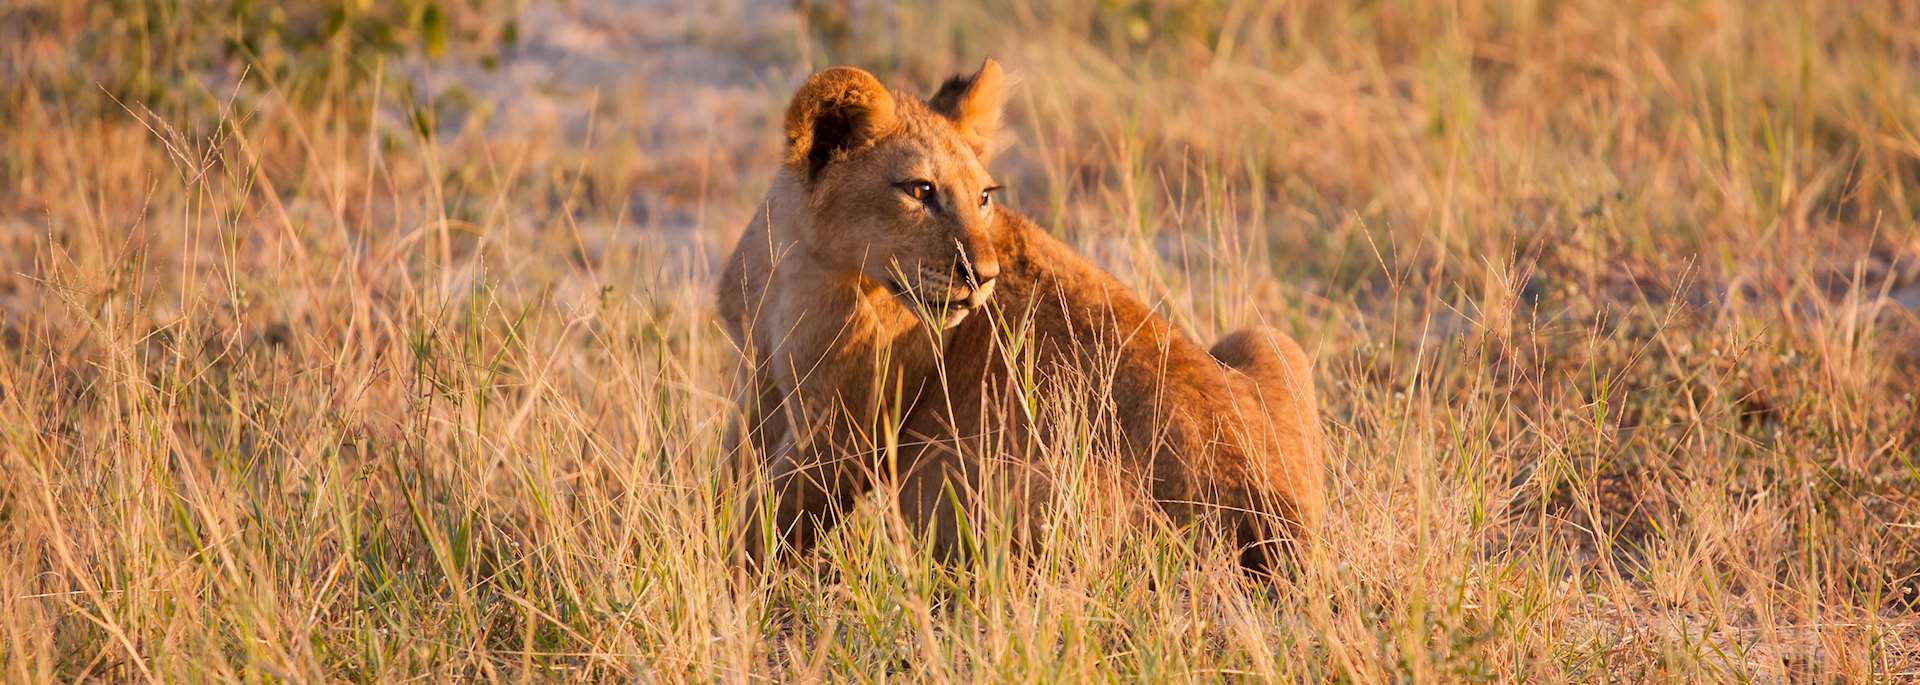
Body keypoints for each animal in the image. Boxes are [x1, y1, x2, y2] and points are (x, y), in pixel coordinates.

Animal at [717, 59, 1324, 574]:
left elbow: (771, 516)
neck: (800, 262)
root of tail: (1268, 505)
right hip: (1267, 338)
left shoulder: (845, 430)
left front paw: (726, 573)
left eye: (984, 196)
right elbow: (734, 467)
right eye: (920, 190)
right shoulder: (760, 378)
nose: (984, 276)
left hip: (989, 480)